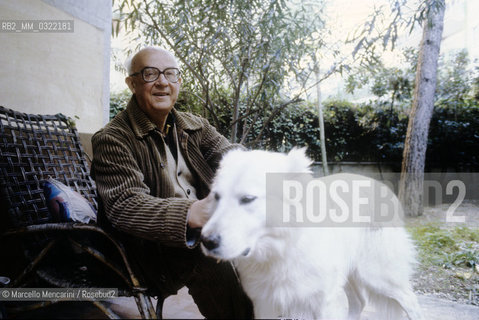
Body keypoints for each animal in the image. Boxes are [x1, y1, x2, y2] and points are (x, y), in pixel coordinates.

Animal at [201, 149, 426, 318]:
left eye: (247, 199)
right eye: (216, 197)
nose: (206, 241)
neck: (282, 250)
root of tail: (384, 189)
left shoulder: (324, 302)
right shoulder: (264, 303)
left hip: (377, 275)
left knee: (411, 301)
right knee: (359, 302)